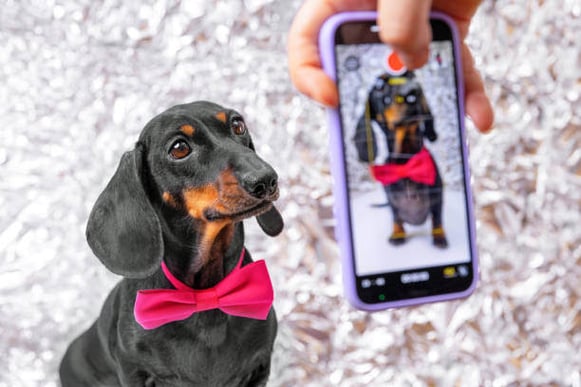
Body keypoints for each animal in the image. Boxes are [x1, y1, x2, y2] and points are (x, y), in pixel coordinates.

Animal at [59, 101, 284, 386]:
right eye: (179, 148)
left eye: (238, 125)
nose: (266, 180)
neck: (205, 295)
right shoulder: (134, 371)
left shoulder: (260, 368)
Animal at [352, 72, 446, 249]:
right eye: (379, 86)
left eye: (411, 76)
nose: (413, 91)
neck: (406, 162)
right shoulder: (393, 203)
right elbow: (396, 218)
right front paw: (397, 234)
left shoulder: (437, 198)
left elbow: (437, 219)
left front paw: (439, 236)